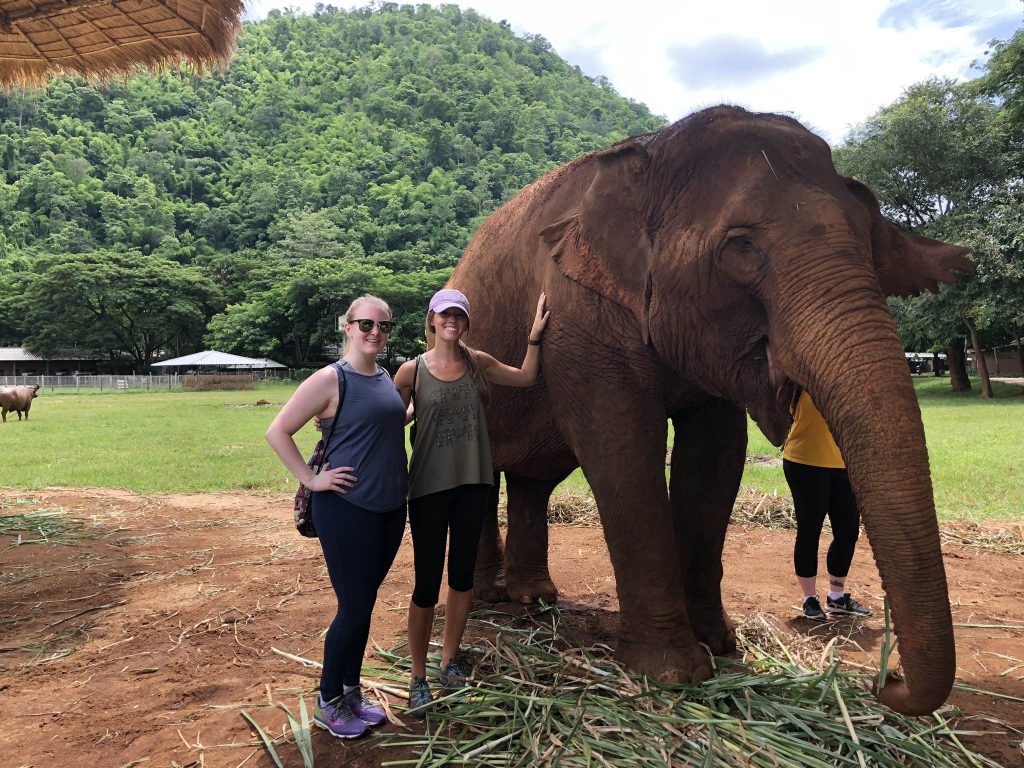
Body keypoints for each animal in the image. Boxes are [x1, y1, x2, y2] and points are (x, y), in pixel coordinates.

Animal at [452, 105, 970, 720]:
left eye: (871, 242)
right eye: (741, 247)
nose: (884, 681)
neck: (652, 150)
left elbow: (716, 457)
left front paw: (722, 648)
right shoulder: (578, 313)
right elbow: (622, 446)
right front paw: (672, 674)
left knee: (533, 481)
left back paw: (535, 601)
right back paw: (489, 599)